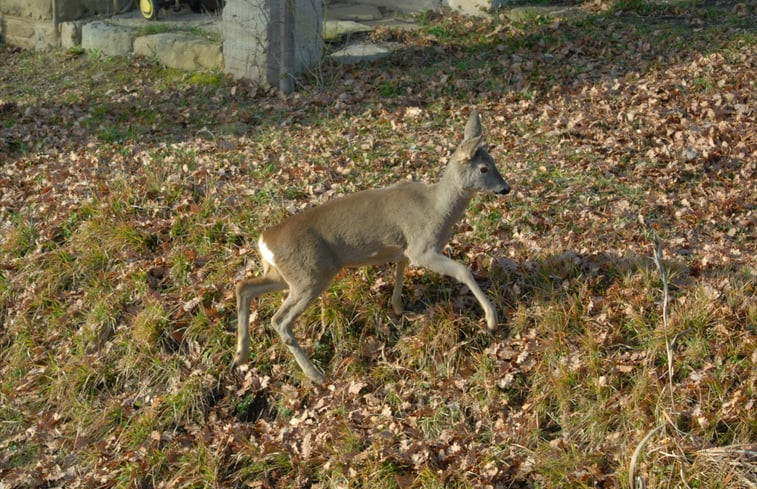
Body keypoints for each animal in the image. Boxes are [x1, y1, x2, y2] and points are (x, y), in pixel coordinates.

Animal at [233, 108, 510, 384]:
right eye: (484, 168)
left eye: (494, 161)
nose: (506, 188)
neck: (437, 208)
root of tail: (264, 241)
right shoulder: (422, 247)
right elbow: (463, 271)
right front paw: (491, 320)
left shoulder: (405, 249)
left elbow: (400, 272)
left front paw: (398, 307)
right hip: (310, 274)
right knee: (279, 320)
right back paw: (316, 375)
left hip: (286, 274)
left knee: (244, 287)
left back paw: (240, 356)